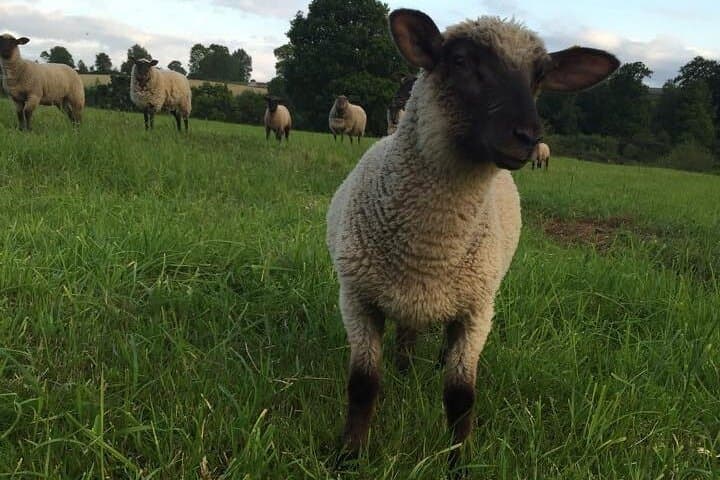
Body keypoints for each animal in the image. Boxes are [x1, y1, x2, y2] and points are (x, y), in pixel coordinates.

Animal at [326, 8, 618, 468]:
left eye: (539, 77)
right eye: (460, 60)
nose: (527, 137)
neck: (429, 250)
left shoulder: (478, 311)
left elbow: (460, 396)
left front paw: (458, 462)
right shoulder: (356, 299)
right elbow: (363, 385)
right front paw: (350, 456)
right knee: (406, 336)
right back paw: (404, 369)